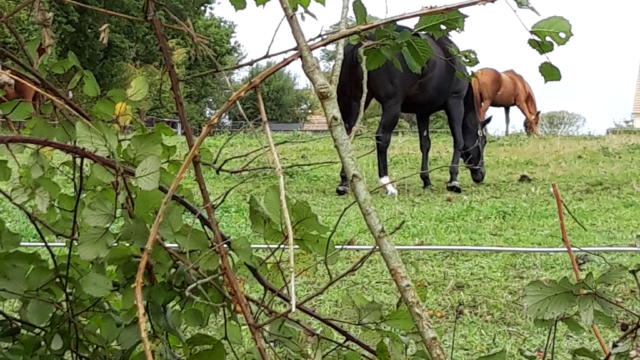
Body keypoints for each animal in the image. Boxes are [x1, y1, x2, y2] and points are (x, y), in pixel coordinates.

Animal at [338, 26, 492, 195]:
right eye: (483, 141)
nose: (481, 174)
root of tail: (364, 42)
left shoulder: (423, 112)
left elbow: (425, 144)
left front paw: (426, 180)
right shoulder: (455, 103)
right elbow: (459, 140)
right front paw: (453, 181)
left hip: (356, 101)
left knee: (345, 136)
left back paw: (344, 182)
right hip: (392, 106)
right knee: (382, 137)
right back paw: (387, 184)